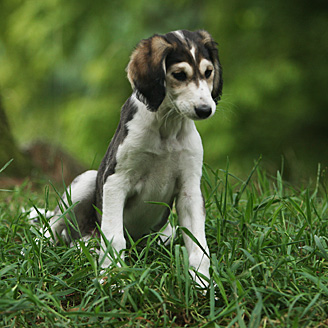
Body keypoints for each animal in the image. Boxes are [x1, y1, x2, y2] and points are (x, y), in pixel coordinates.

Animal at [46, 30, 223, 288]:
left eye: (208, 72)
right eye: (179, 75)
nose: (205, 110)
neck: (166, 127)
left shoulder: (189, 190)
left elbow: (198, 245)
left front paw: (202, 283)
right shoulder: (115, 182)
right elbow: (114, 238)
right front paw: (112, 277)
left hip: (164, 233)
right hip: (86, 183)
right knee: (49, 229)